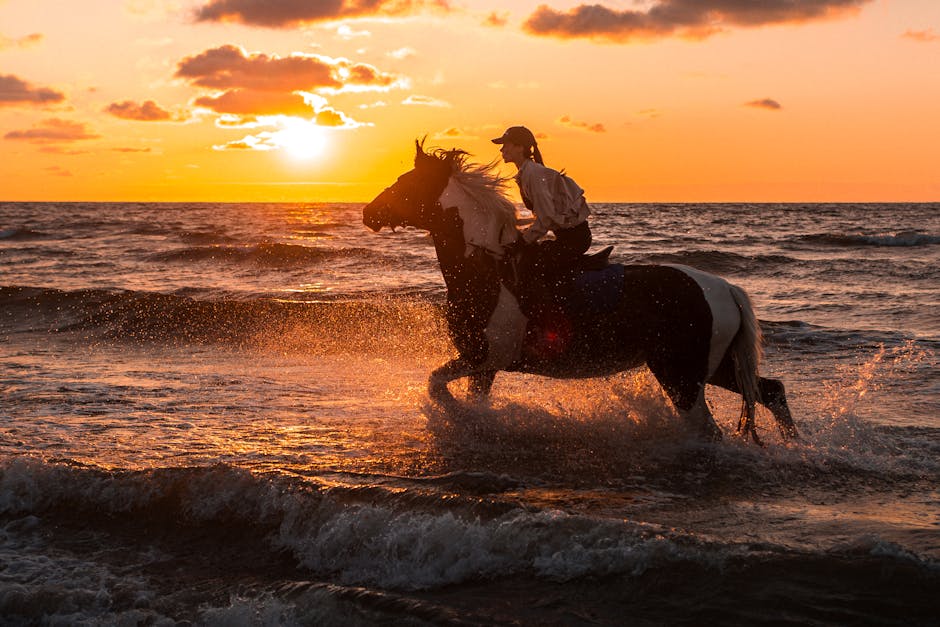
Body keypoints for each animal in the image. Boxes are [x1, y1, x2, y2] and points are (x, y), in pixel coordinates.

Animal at [364, 142, 796, 446]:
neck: (485, 270)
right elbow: (459, 396)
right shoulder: (483, 366)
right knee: (771, 390)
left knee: (711, 427)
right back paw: (796, 447)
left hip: (681, 374)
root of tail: (725, 289)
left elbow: (435, 385)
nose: (369, 213)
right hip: (711, 365)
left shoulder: (483, 356)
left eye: (405, 183)